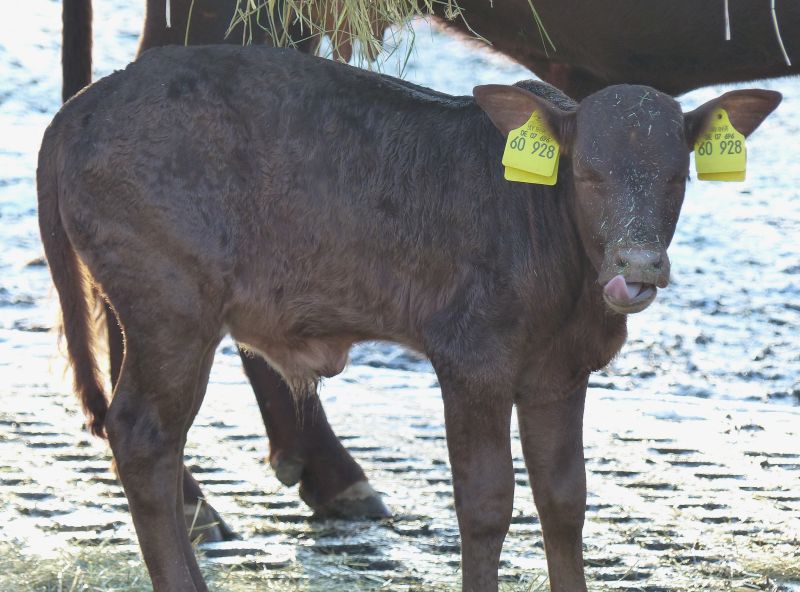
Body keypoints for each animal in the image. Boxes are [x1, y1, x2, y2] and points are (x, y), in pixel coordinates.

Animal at [40, 47, 780, 592]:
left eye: (677, 176)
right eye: (588, 172)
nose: (639, 263)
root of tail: (82, 105)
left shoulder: (559, 373)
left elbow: (564, 498)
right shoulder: (473, 360)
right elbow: (486, 503)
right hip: (171, 307)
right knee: (143, 437)